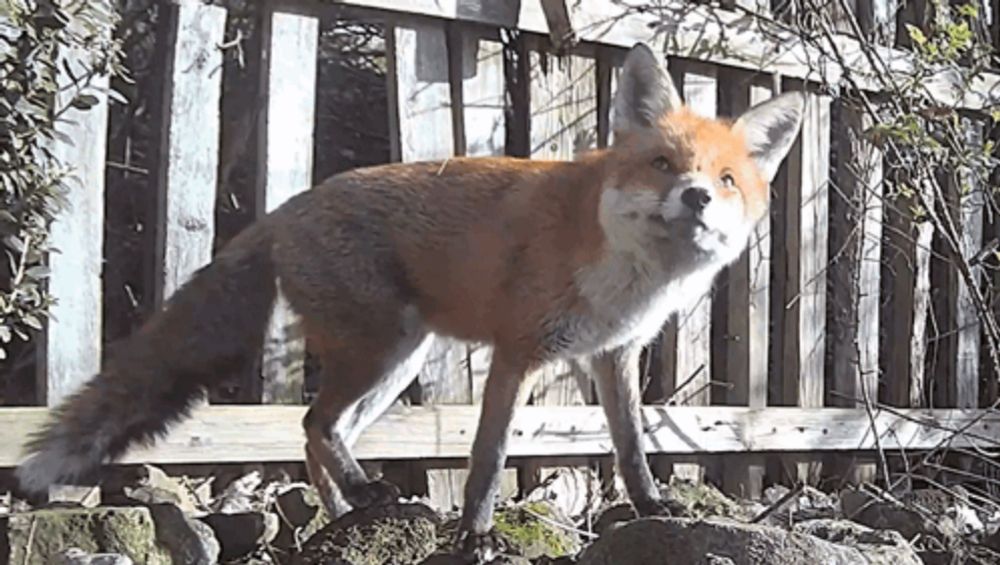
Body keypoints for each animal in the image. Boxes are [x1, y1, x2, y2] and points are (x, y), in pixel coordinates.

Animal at [15, 44, 804, 560]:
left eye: (727, 178)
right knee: (317, 422)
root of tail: (286, 208)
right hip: (382, 350)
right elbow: (487, 458)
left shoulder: (612, 356)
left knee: (315, 432)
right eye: (664, 165)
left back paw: (342, 510)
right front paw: (477, 537)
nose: (697, 196)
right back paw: (361, 500)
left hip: (396, 363)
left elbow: (632, 446)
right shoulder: (518, 352)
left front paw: (649, 507)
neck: (627, 272)